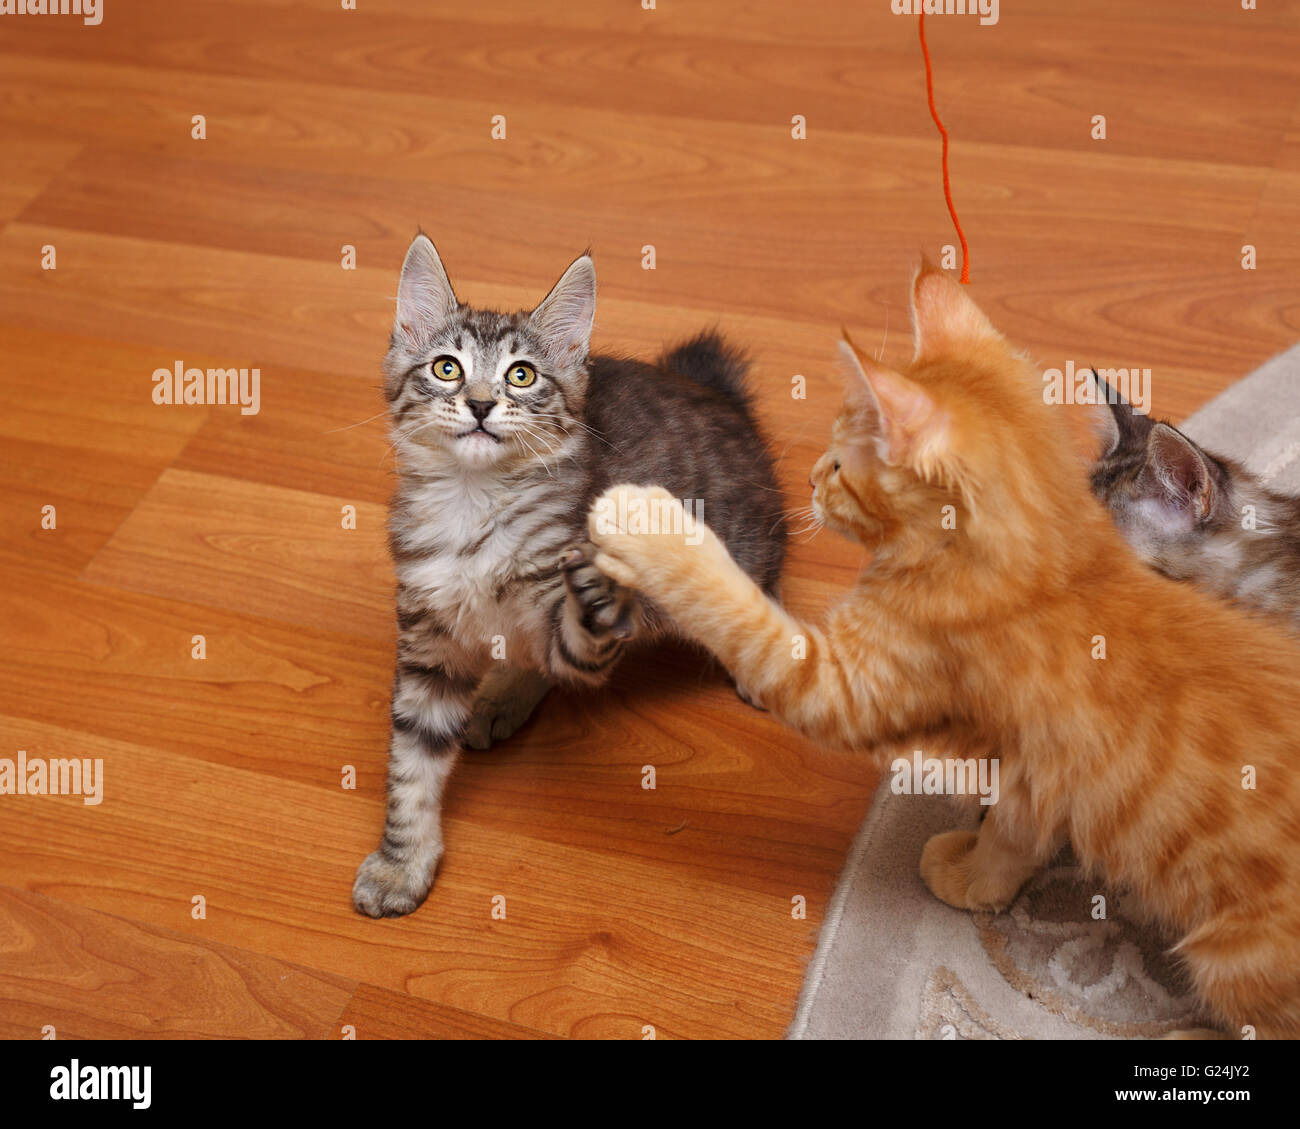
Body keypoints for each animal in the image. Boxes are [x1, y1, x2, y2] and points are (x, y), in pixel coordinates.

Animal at [345, 235, 785, 915]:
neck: (474, 505)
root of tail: (718, 395)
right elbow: (410, 768)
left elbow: (579, 634)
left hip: (740, 543)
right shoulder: (430, 641)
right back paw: (499, 698)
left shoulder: (567, 599)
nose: (480, 404)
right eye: (447, 368)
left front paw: (597, 595)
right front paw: (402, 864)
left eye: (521, 375)